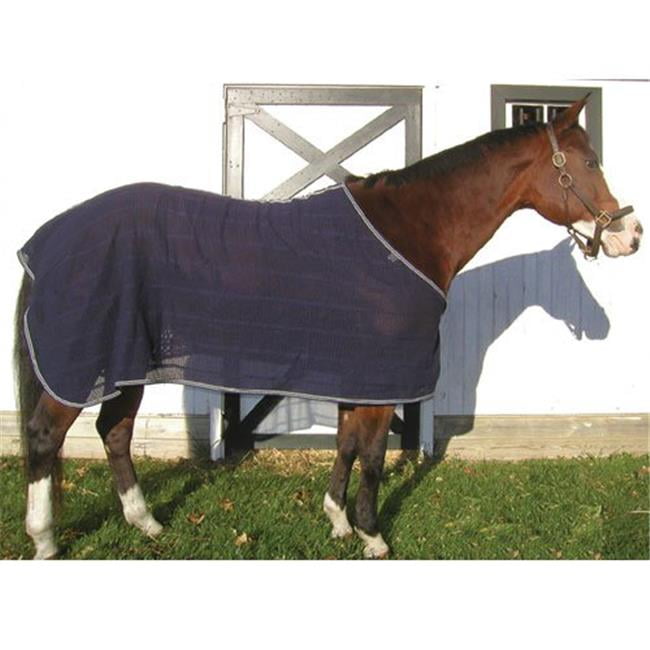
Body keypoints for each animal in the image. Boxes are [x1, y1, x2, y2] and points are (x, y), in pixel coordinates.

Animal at [14, 96, 642, 559]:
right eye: (590, 163)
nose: (628, 235)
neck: (410, 232)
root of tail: (48, 238)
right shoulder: (384, 379)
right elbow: (372, 457)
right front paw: (372, 536)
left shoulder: (355, 373)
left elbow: (344, 445)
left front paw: (338, 521)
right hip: (86, 363)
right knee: (47, 435)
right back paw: (45, 539)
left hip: (127, 361)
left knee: (114, 432)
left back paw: (146, 524)